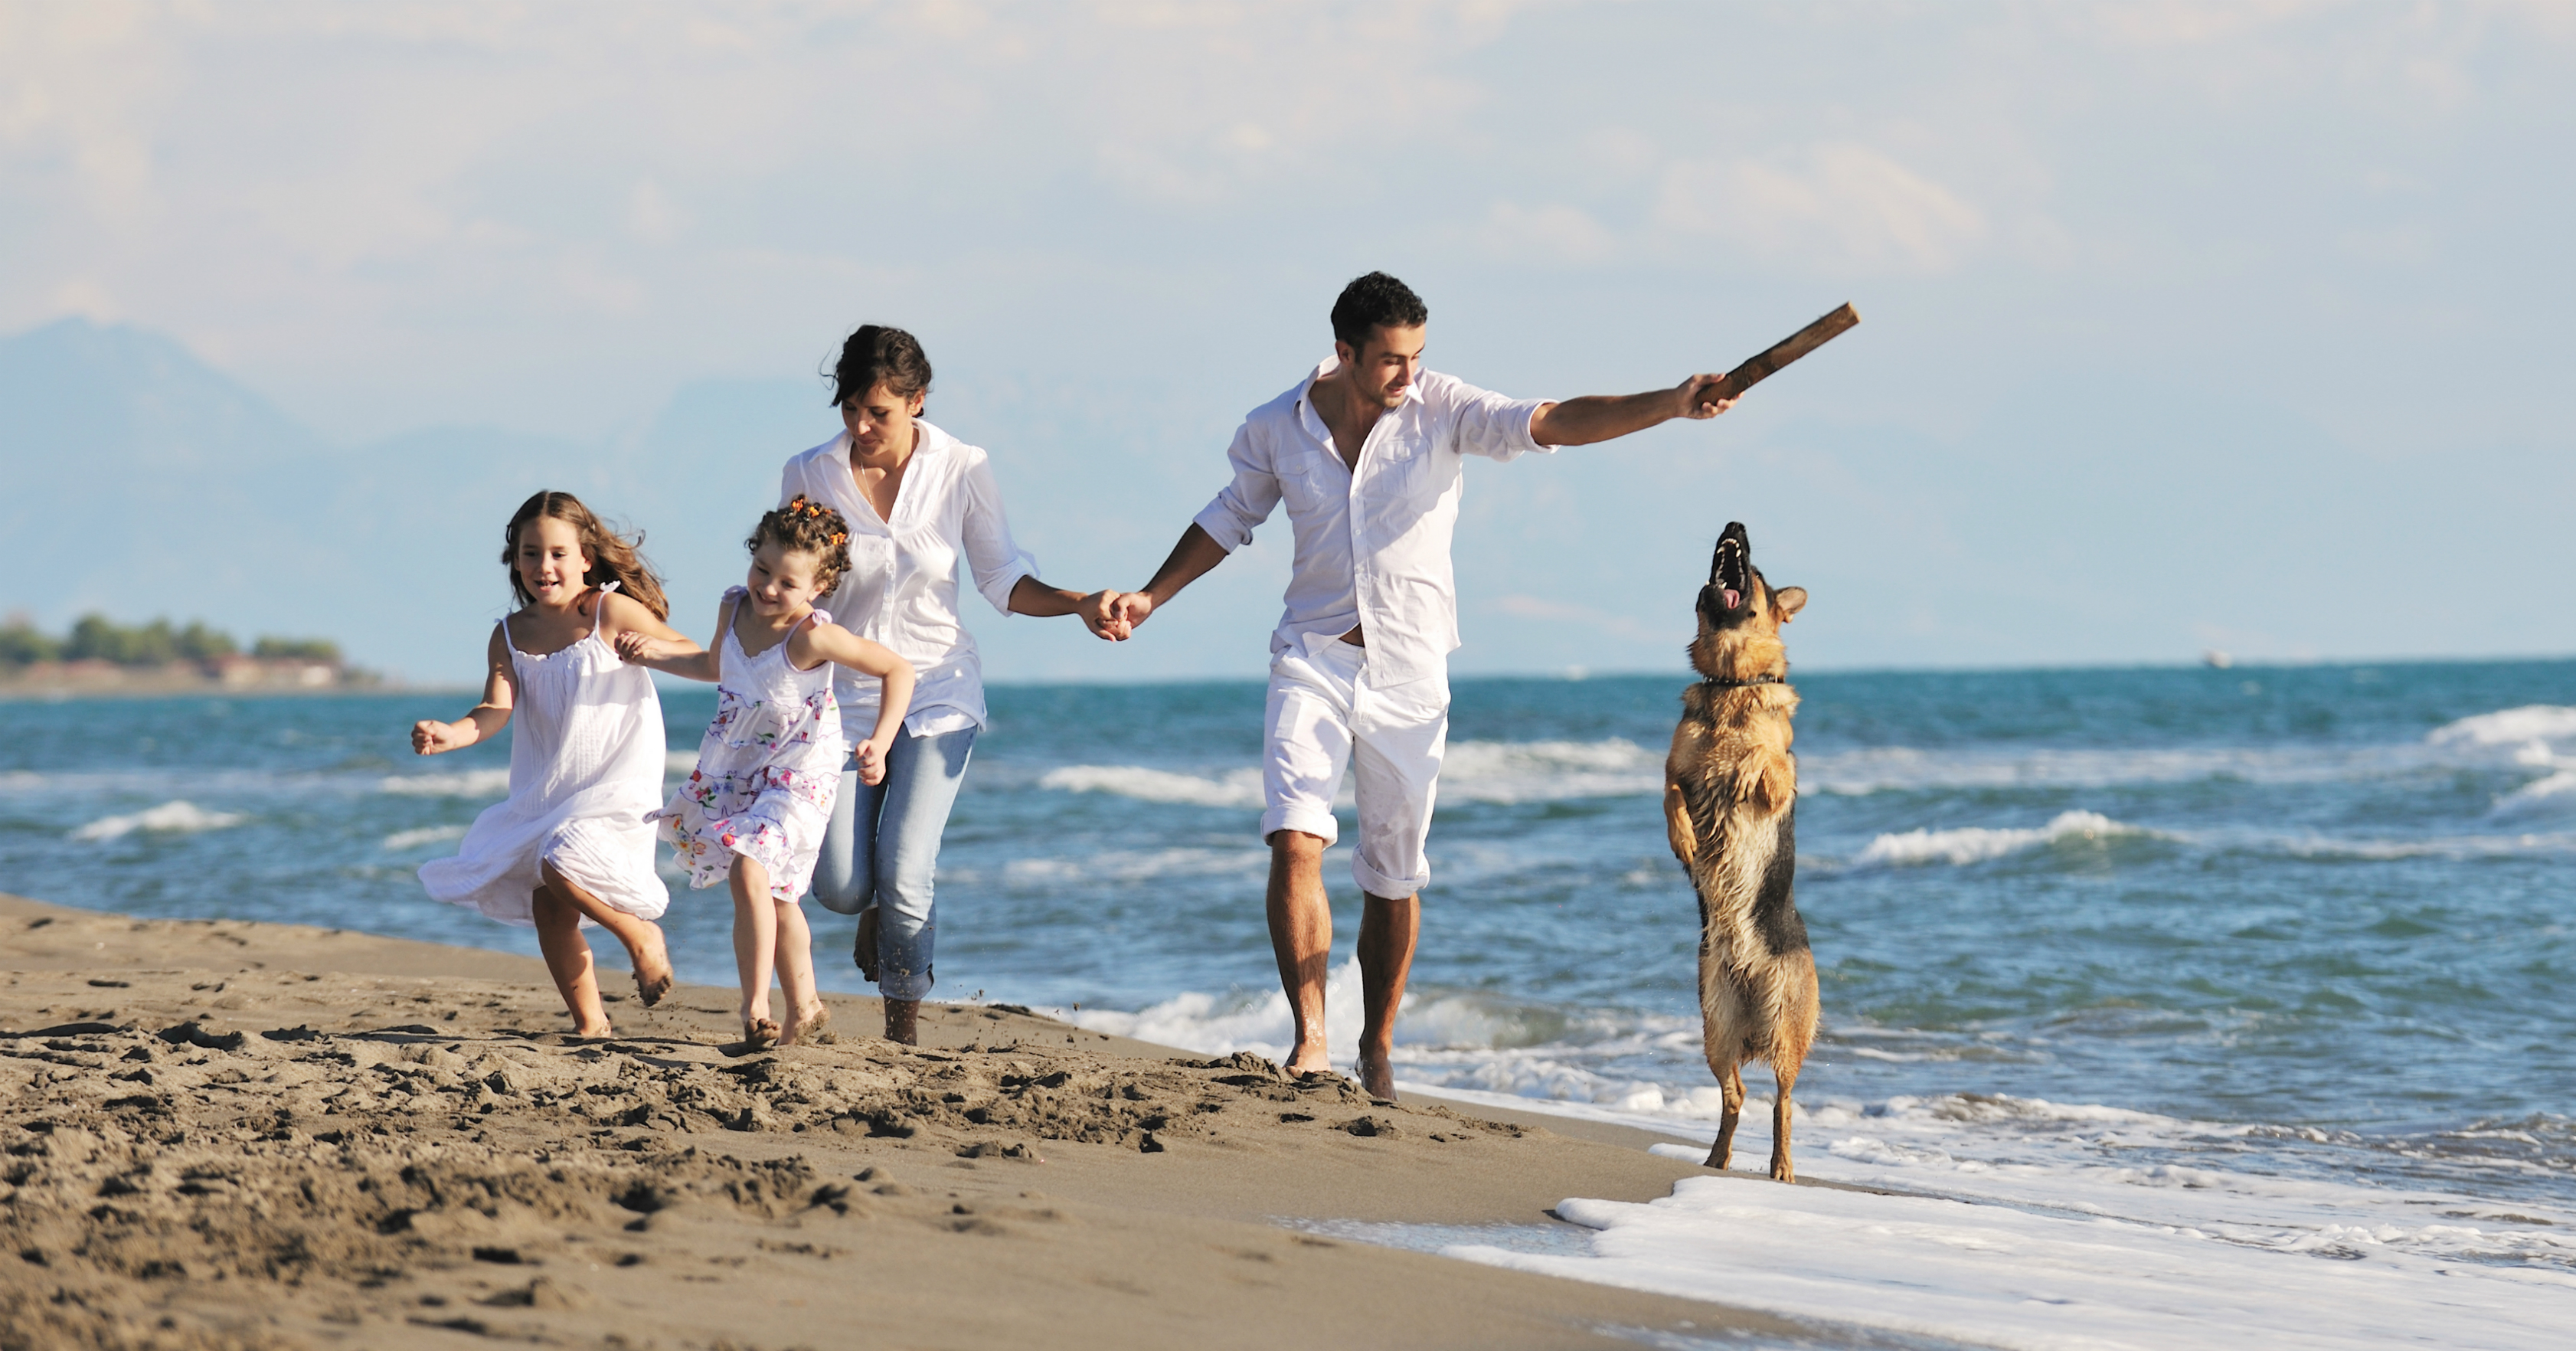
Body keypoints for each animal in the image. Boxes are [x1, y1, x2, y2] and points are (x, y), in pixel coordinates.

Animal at [1659, 523, 1823, 1176]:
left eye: (1756, 573)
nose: (1734, 527)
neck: (1731, 681)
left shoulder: (1782, 778)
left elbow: (1767, 757)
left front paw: (1745, 756)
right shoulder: (1674, 769)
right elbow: (1673, 795)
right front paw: (1684, 838)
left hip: (1784, 1027)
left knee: (1782, 1101)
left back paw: (1781, 1167)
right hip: (1716, 1027)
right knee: (1736, 1094)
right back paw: (1716, 1158)